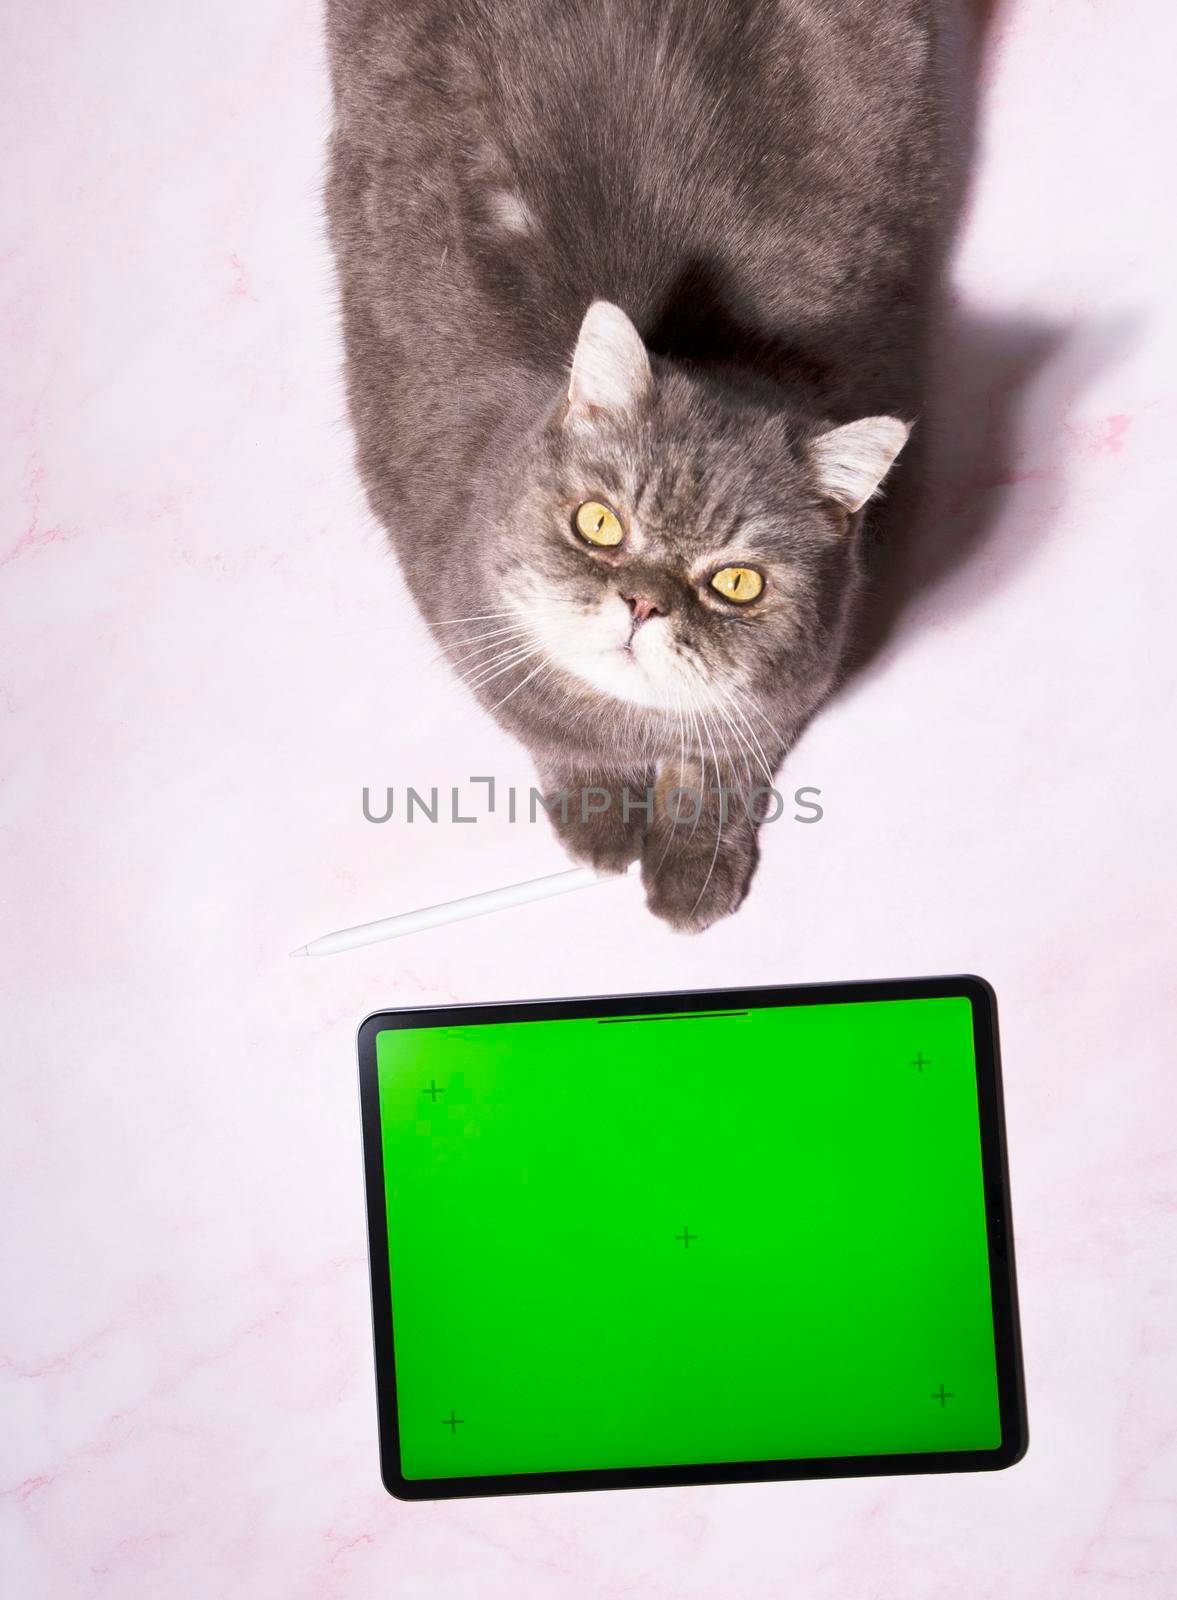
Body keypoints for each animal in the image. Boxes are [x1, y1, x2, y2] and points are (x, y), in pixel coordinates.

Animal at [326, 0, 940, 934]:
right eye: (600, 523)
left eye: (737, 583)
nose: (643, 602)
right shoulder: (472, 639)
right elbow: (555, 737)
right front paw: (599, 822)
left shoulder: (791, 691)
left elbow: (724, 765)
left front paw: (694, 863)